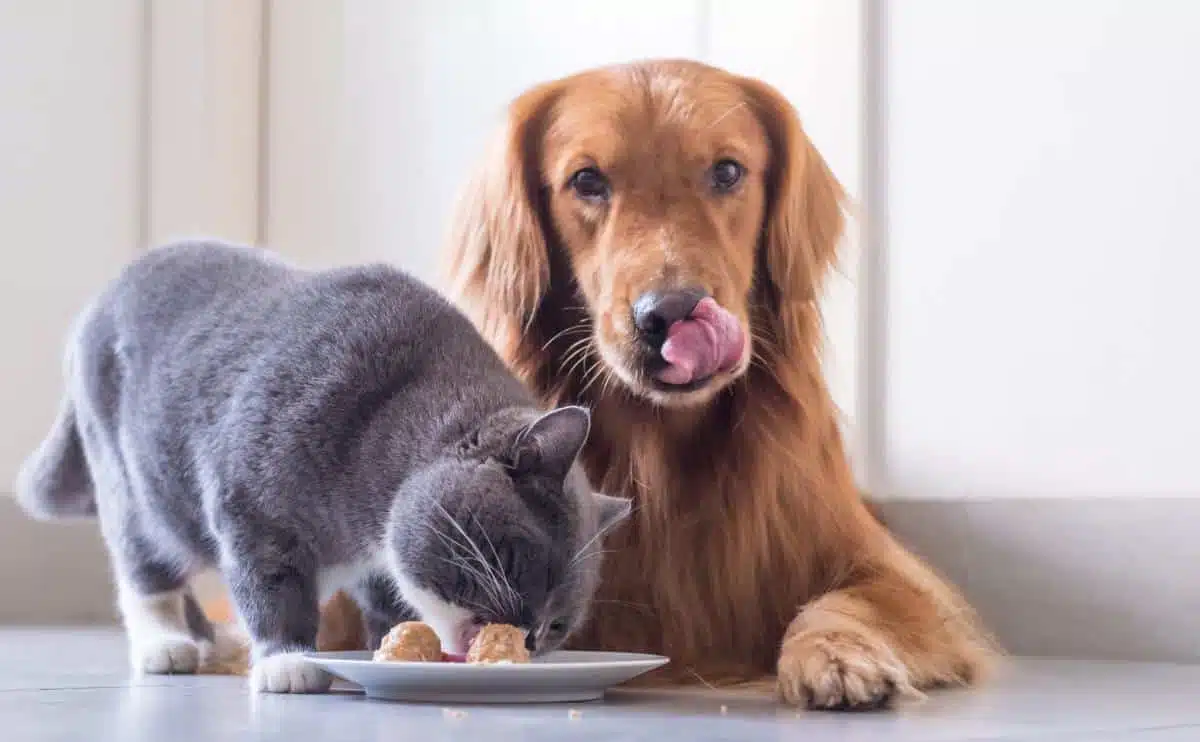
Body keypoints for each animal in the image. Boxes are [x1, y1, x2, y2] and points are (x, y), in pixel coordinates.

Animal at [14, 240, 633, 691]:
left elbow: (389, 603)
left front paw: (393, 648)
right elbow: (270, 586)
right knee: (145, 568)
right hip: (133, 484)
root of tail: (107, 293)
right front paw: (288, 660)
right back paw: (167, 645)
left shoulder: (380, 565)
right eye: (526, 561)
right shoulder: (252, 510)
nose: (528, 636)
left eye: (558, 625)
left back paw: (213, 641)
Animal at [441, 57, 993, 705]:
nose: (670, 313)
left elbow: (847, 602)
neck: (662, 450)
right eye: (586, 180)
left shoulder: (892, 573)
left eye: (728, 171)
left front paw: (835, 654)